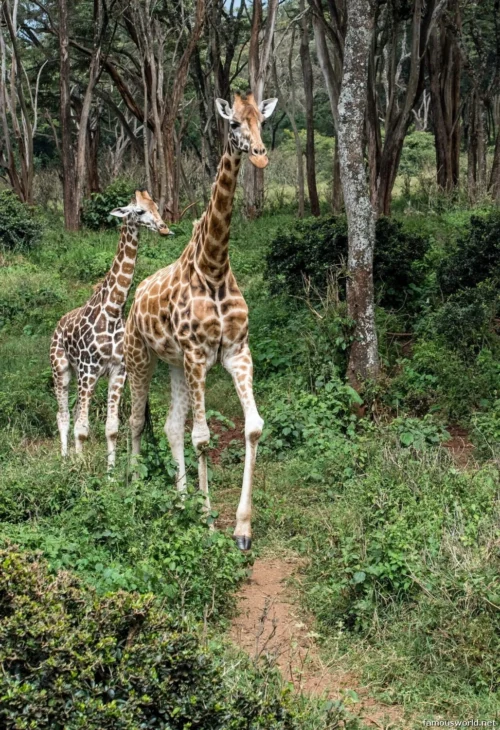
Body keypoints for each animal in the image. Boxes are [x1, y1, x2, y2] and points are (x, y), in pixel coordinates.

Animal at [50, 190, 172, 468]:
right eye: (139, 211)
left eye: (157, 207)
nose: (164, 228)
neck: (114, 310)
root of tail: (58, 324)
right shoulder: (88, 369)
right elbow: (82, 428)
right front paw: (80, 471)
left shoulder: (118, 370)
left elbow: (111, 428)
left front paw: (111, 472)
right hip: (62, 370)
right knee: (63, 416)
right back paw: (65, 460)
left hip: (82, 376)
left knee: (74, 412)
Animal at [124, 91, 278, 550]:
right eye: (234, 124)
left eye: (262, 121)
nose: (260, 156)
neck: (213, 267)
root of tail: (135, 296)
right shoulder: (197, 356)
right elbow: (203, 437)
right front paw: (209, 523)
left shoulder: (236, 352)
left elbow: (253, 428)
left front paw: (242, 528)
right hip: (141, 358)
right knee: (136, 422)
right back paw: (134, 492)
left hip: (173, 364)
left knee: (171, 427)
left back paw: (179, 503)